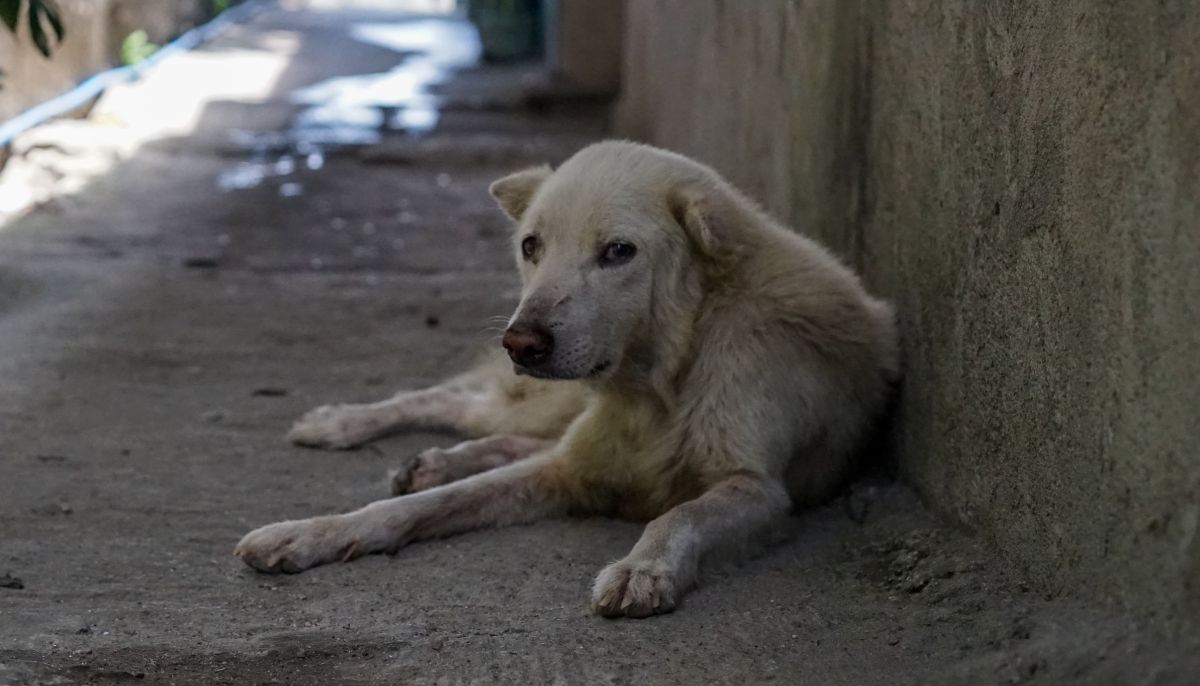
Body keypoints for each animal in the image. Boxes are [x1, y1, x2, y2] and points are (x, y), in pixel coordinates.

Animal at [234, 142, 897, 618]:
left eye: (618, 252)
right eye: (531, 245)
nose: (520, 342)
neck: (661, 385)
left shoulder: (761, 491)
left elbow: (678, 514)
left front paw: (643, 569)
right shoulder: (566, 469)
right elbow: (418, 507)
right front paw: (309, 533)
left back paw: (433, 458)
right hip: (542, 400)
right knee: (457, 402)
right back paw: (342, 424)